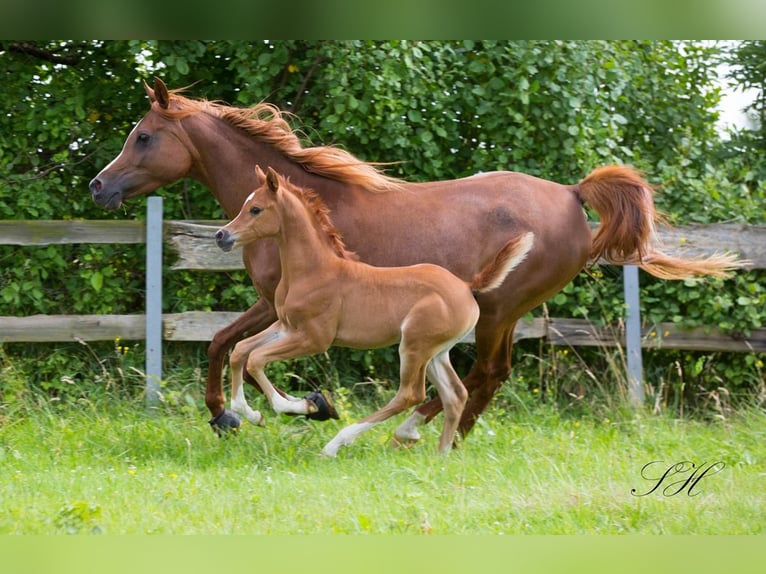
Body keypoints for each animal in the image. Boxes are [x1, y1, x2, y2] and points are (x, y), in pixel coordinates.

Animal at [216, 168, 536, 460]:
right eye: (245, 204)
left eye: (256, 209)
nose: (222, 235)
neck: (313, 270)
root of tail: (468, 286)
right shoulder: (286, 326)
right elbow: (241, 350)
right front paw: (252, 414)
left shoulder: (314, 339)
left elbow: (256, 359)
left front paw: (306, 405)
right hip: (436, 352)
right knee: (455, 394)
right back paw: (441, 455)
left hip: (414, 345)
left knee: (411, 394)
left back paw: (336, 444)